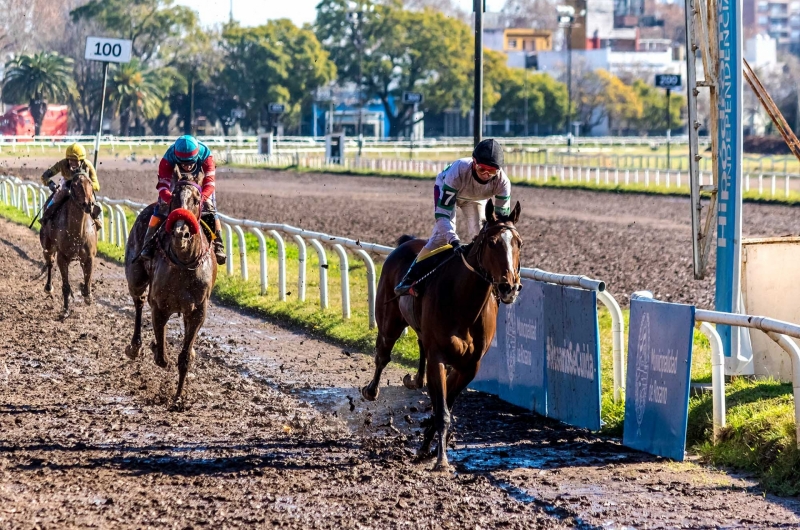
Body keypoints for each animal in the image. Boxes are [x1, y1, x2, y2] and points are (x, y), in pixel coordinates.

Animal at [40, 171, 98, 316]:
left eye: (90, 182)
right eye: (75, 185)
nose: (88, 204)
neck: (78, 232)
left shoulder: (89, 257)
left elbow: (87, 281)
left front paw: (87, 295)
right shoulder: (62, 257)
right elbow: (65, 286)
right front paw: (66, 309)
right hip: (47, 246)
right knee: (50, 262)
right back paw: (48, 287)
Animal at [123, 179, 216, 398]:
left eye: (196, 199)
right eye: (173, 197)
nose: (180, 233)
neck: (184, 263)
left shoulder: (198, 311)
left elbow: (184, 357)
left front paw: (179, 396)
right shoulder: (159, 306)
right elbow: (162, 357)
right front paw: (155, 346)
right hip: (136, 277)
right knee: (139, 302)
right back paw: (135, 346)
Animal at [362, 199, 524, 470]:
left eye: (518, 243)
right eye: (492, 242)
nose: (508, 287)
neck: (464, 303)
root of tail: (408, 241)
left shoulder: (470, 365)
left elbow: (445, 403)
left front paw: (429, 445)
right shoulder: (438, 356)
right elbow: (442, 411)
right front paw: (441, 460)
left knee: (418, 348)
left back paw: (415, 380)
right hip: (389, 320)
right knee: (383, 354)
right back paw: (371, 390)